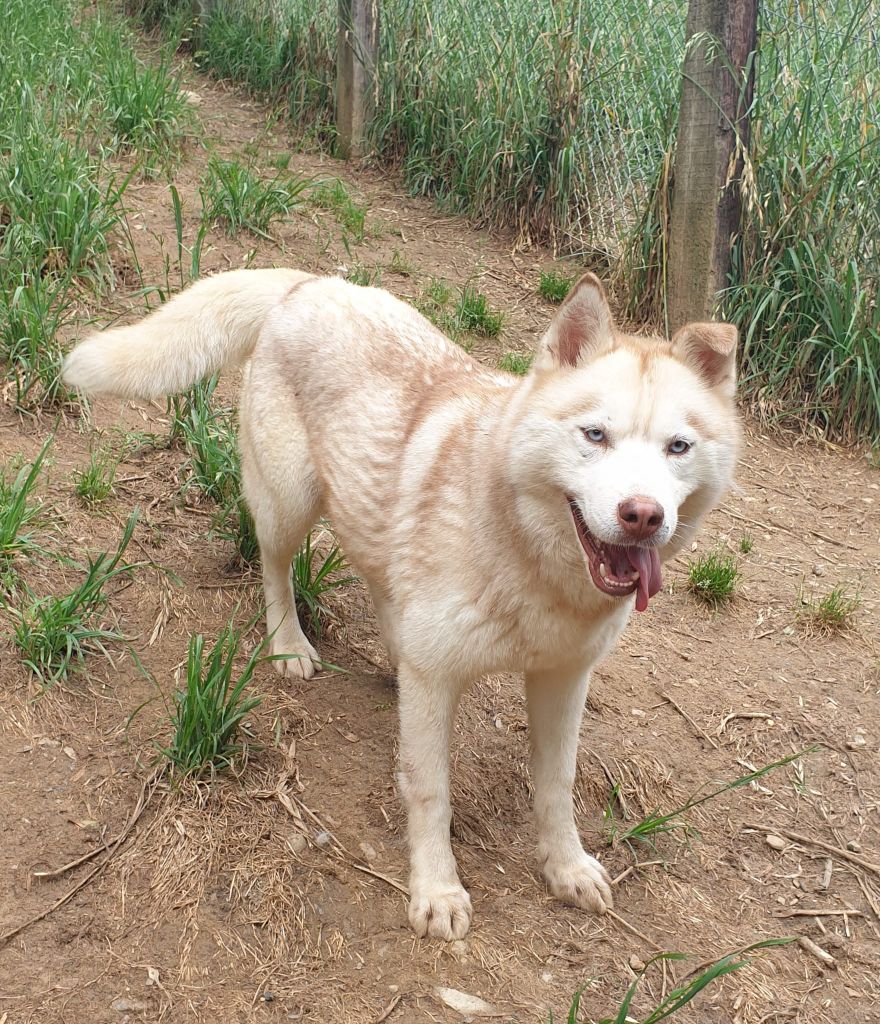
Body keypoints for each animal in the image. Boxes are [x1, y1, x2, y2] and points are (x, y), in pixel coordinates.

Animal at [61, 268, 741, 937]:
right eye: (594, 435)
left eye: (678, 447)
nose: (642, 515)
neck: (528, 558)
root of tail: (310, 282)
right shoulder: (437, 682)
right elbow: (429, 792)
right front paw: (437, 891)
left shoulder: (563, 679)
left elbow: (557, 784)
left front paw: (566, 867)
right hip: (288, 503)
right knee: (275, 568)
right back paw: (288, 644)